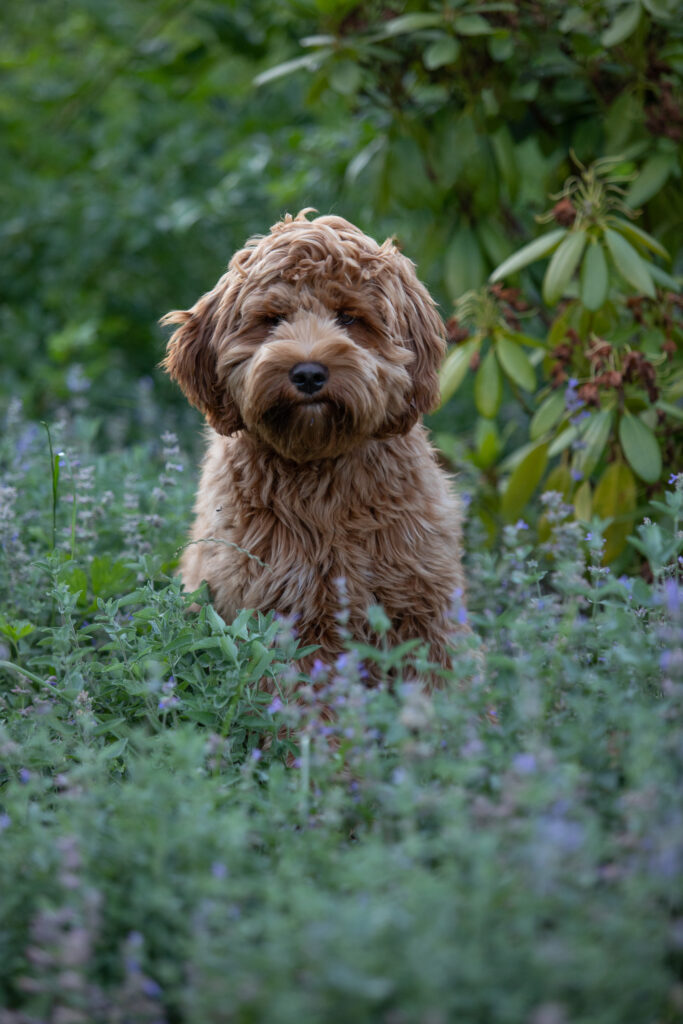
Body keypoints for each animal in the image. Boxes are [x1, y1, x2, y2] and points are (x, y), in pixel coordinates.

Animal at [161, 207, 471, 679]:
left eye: (349, 317)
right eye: (272, 319)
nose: (308, 374)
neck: (320, 468)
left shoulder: (424, 602)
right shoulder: (286, 613)